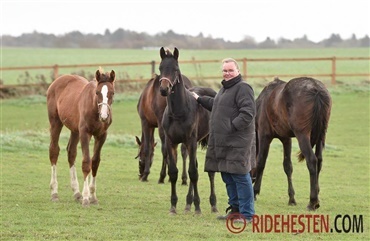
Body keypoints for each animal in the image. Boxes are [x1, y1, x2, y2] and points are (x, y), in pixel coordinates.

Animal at [47, 68, 115, 206]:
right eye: (97, 92)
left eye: (112, 93)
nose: (104, 116)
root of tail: (56, 82)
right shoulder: (85, 133)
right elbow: (86, 162)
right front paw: (86, 198)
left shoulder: (101, 136)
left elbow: (95, 162)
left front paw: (93, 196)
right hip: (56, 122)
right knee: (54, 151)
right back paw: (55, 193)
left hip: (75, 130)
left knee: (71, 153)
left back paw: (76, 193)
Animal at [158, 46, 217, 214]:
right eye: (160, 68)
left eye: (176, 69)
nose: (164, 89)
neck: (178, 112)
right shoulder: (171, 142)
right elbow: (174, 172)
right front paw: (173, 206)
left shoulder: (191, 141)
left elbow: (193, 173)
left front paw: (198, 207)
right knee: (194, 166)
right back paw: (188, 203)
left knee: (209, 172)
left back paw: (212, 204)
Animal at [253, 76, 330, 210]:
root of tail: (316, 89)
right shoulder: (286, 139)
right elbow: (288, 166)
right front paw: (292, 198)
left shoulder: (264, 135)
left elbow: (261, 162)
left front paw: (254, 192)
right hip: (320, 136)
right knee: (319, 161)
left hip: (302, 135)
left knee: (312, 160)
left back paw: (312, 201)